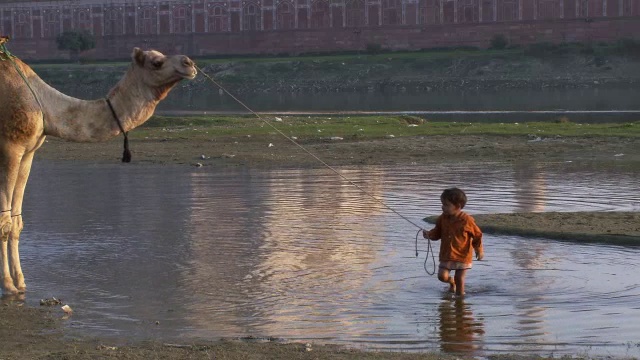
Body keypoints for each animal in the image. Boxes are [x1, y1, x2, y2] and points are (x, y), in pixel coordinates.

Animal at [0, 39, 198, 294]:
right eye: (157, 62)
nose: (189, 63)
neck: (44, 104)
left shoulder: (28, 153)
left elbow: (16, 223)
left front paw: (21, 283)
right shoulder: (10, 147)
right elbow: (4, 223)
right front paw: (8, 286)